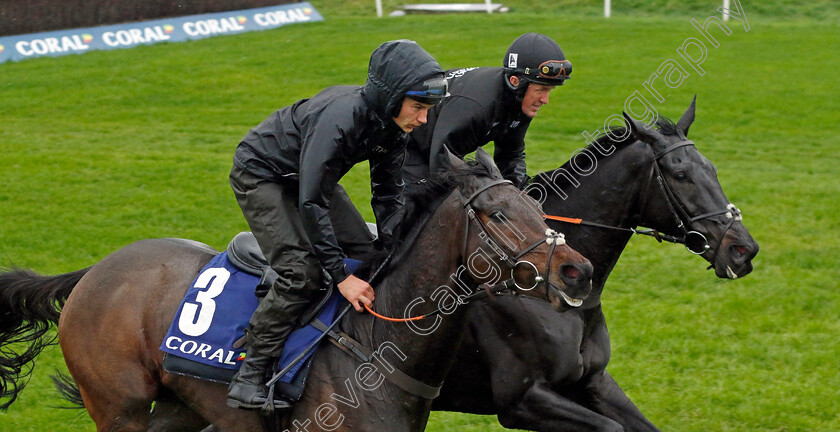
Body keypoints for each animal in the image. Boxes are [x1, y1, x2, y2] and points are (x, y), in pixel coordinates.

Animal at [1, 149, 592, 432]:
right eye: (499, 215)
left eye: (537, 205)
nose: (576, 271)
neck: (375, 344)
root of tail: (93, 272)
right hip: (118, 407)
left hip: (179, 408)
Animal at [434, 100, 760, 428]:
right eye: (681, 175)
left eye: (712, 169)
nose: (744, 250)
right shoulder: (522, 399)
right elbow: (610, 425)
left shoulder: (593, 381)